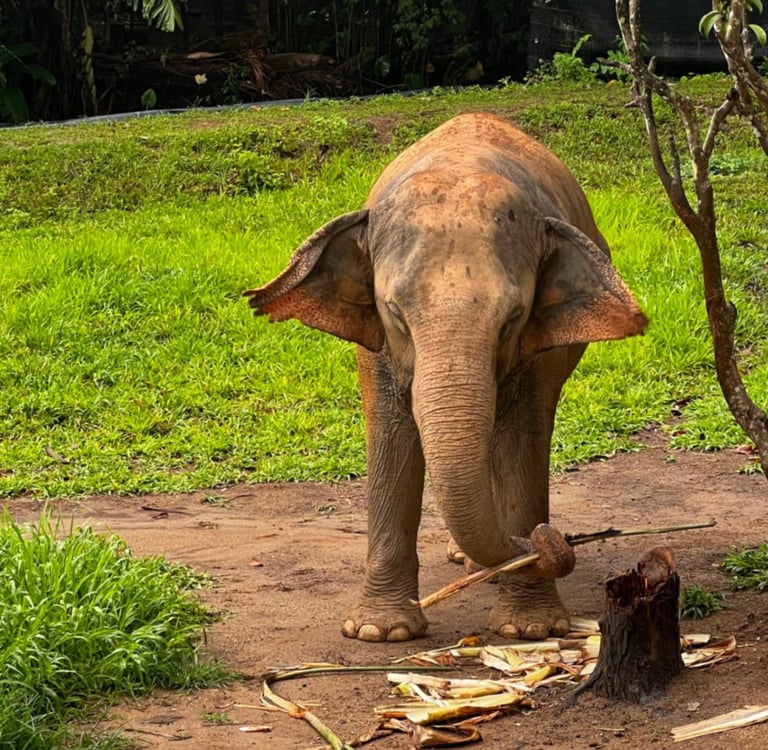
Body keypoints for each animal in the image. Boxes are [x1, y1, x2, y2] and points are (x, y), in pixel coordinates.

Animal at [244, 113, 647, 642]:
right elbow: (391, 438)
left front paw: (530, 630)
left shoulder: (539, 353)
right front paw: (378, 632)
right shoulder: (376, 347)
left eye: (513, 317)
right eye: (395, 311)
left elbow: (524, 440)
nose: (548, 540)